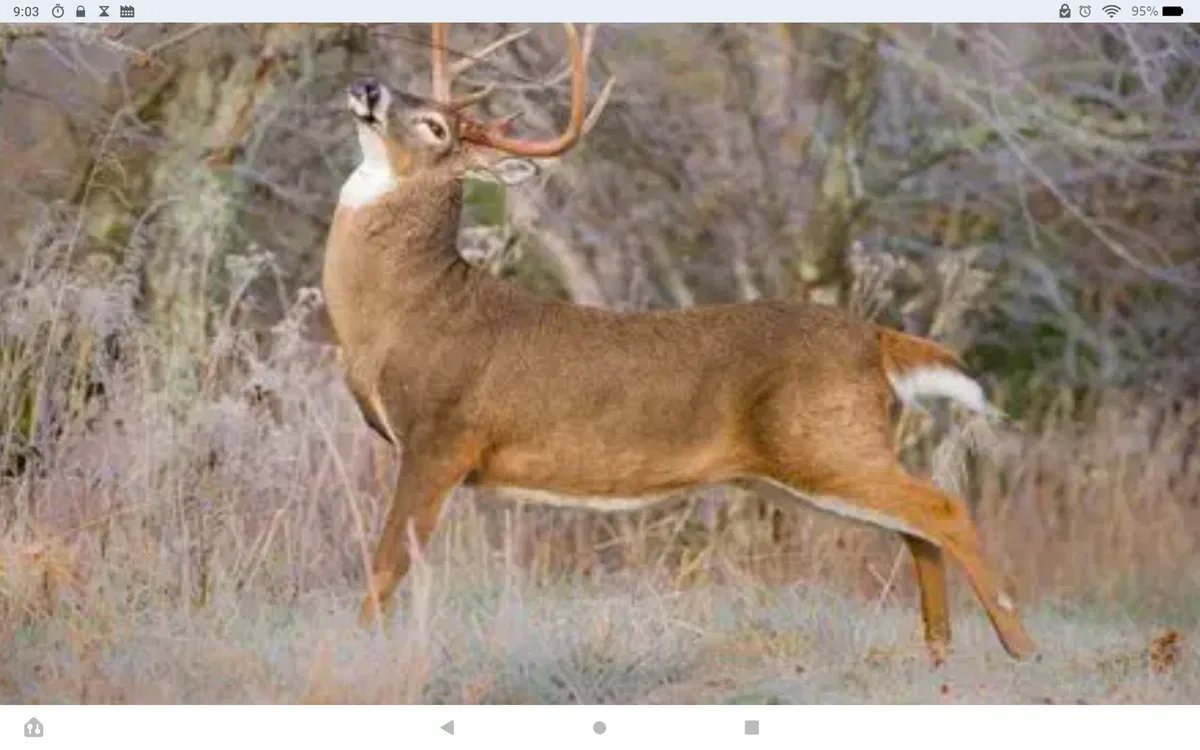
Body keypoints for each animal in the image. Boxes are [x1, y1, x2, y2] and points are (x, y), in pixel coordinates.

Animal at [320, 23, 1037, 667]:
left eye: (436, 128)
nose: (367, 87)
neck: (407, 313)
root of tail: (875, 337)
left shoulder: (440, 435)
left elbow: (384, 567)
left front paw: (359, 656)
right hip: (809, 459)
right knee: (917, 530)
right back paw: (939, 656)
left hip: (826, 441)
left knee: (942, 506)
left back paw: (1019, 649)